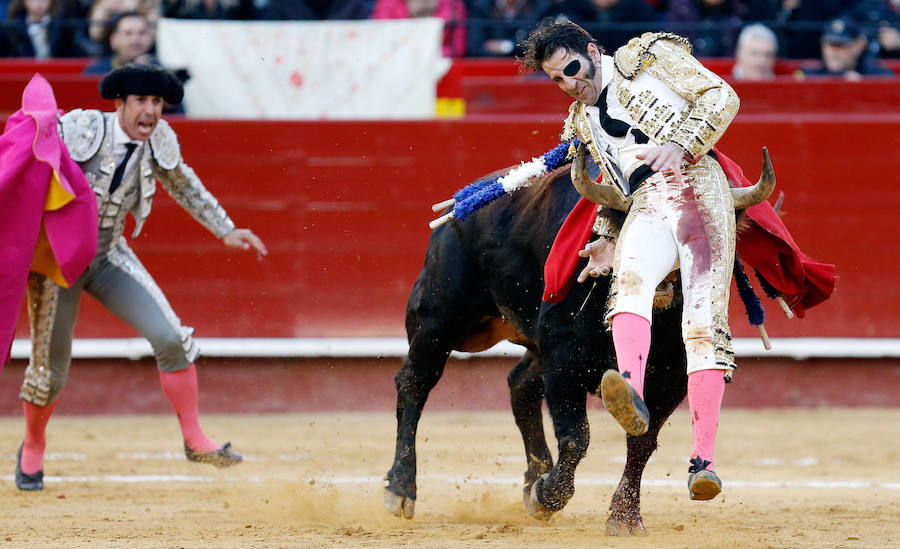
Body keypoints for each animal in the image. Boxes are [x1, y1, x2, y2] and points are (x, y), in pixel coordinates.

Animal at [384, 164, 688, 536]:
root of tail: (460, 202)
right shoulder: (562, 359)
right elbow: (576, 437)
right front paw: (547, 495)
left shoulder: (672, 379)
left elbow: (641, 442)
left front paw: (624, 517)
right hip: (437, 320)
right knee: (414, 382)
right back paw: (401, 489)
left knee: (520, 383)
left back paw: (534, 475)